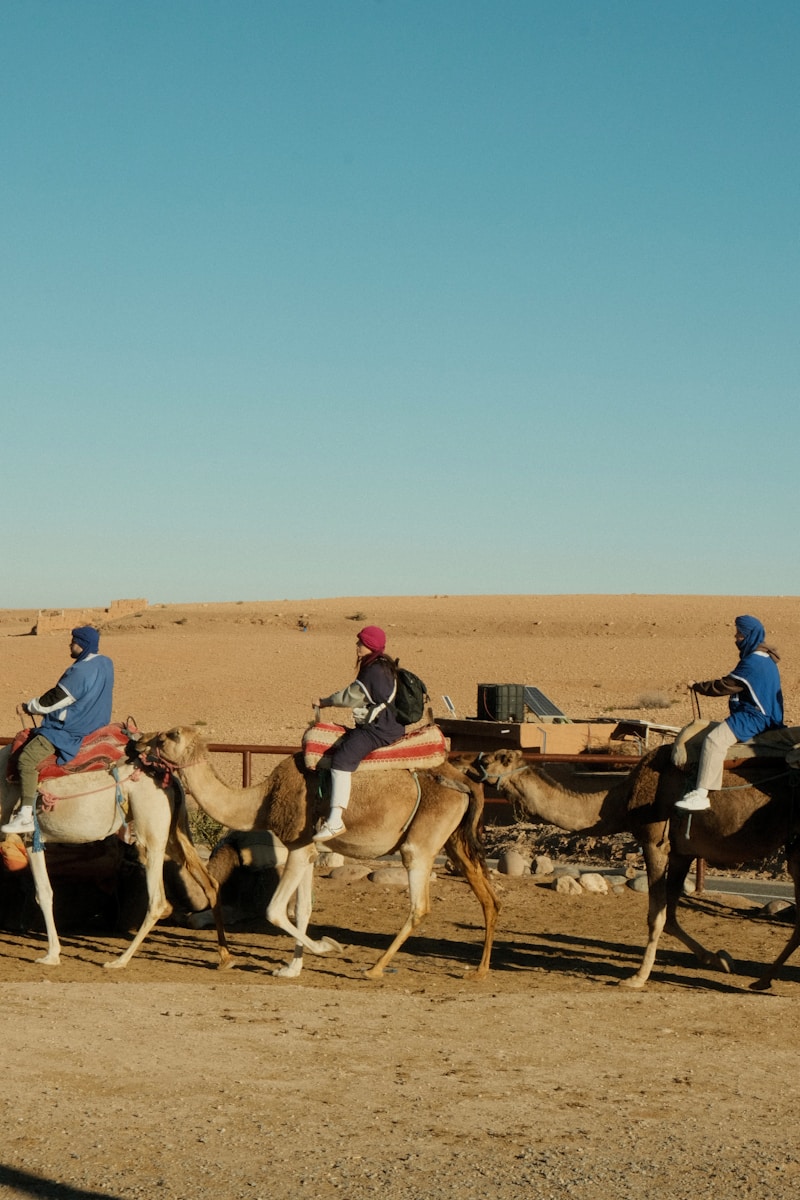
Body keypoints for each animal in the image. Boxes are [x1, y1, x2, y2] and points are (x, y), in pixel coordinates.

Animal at [0, 742, 232, 970]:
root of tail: (170, 779)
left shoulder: (30, 838)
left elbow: (43, 893)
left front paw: (51, 955)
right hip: (176, 831)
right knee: (209, 883)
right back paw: (225, 958)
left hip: (151, 833)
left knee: (158, 900)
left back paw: (120, 960)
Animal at [137, 725, 499, 980]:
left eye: (170, 735)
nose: (140, 741)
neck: (262, 800)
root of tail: (466, 781)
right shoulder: (309, 851)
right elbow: (303, 910)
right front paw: (291, 968)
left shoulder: (297, 846)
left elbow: (275, 911)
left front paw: (327, 947)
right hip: (454, 840)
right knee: (488, 897)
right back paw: (480, 970)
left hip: (420, 844)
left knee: (420, 905)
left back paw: (375, 968)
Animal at [476, 746, 800, 991]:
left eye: (496, 759)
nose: (477, 761)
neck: (618, 801)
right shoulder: (682, 851)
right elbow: (670, 917)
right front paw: (719, 959)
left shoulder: (654, 840)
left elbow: (656, 916)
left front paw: (637, 977)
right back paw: (762, 980)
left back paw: (763, 980)